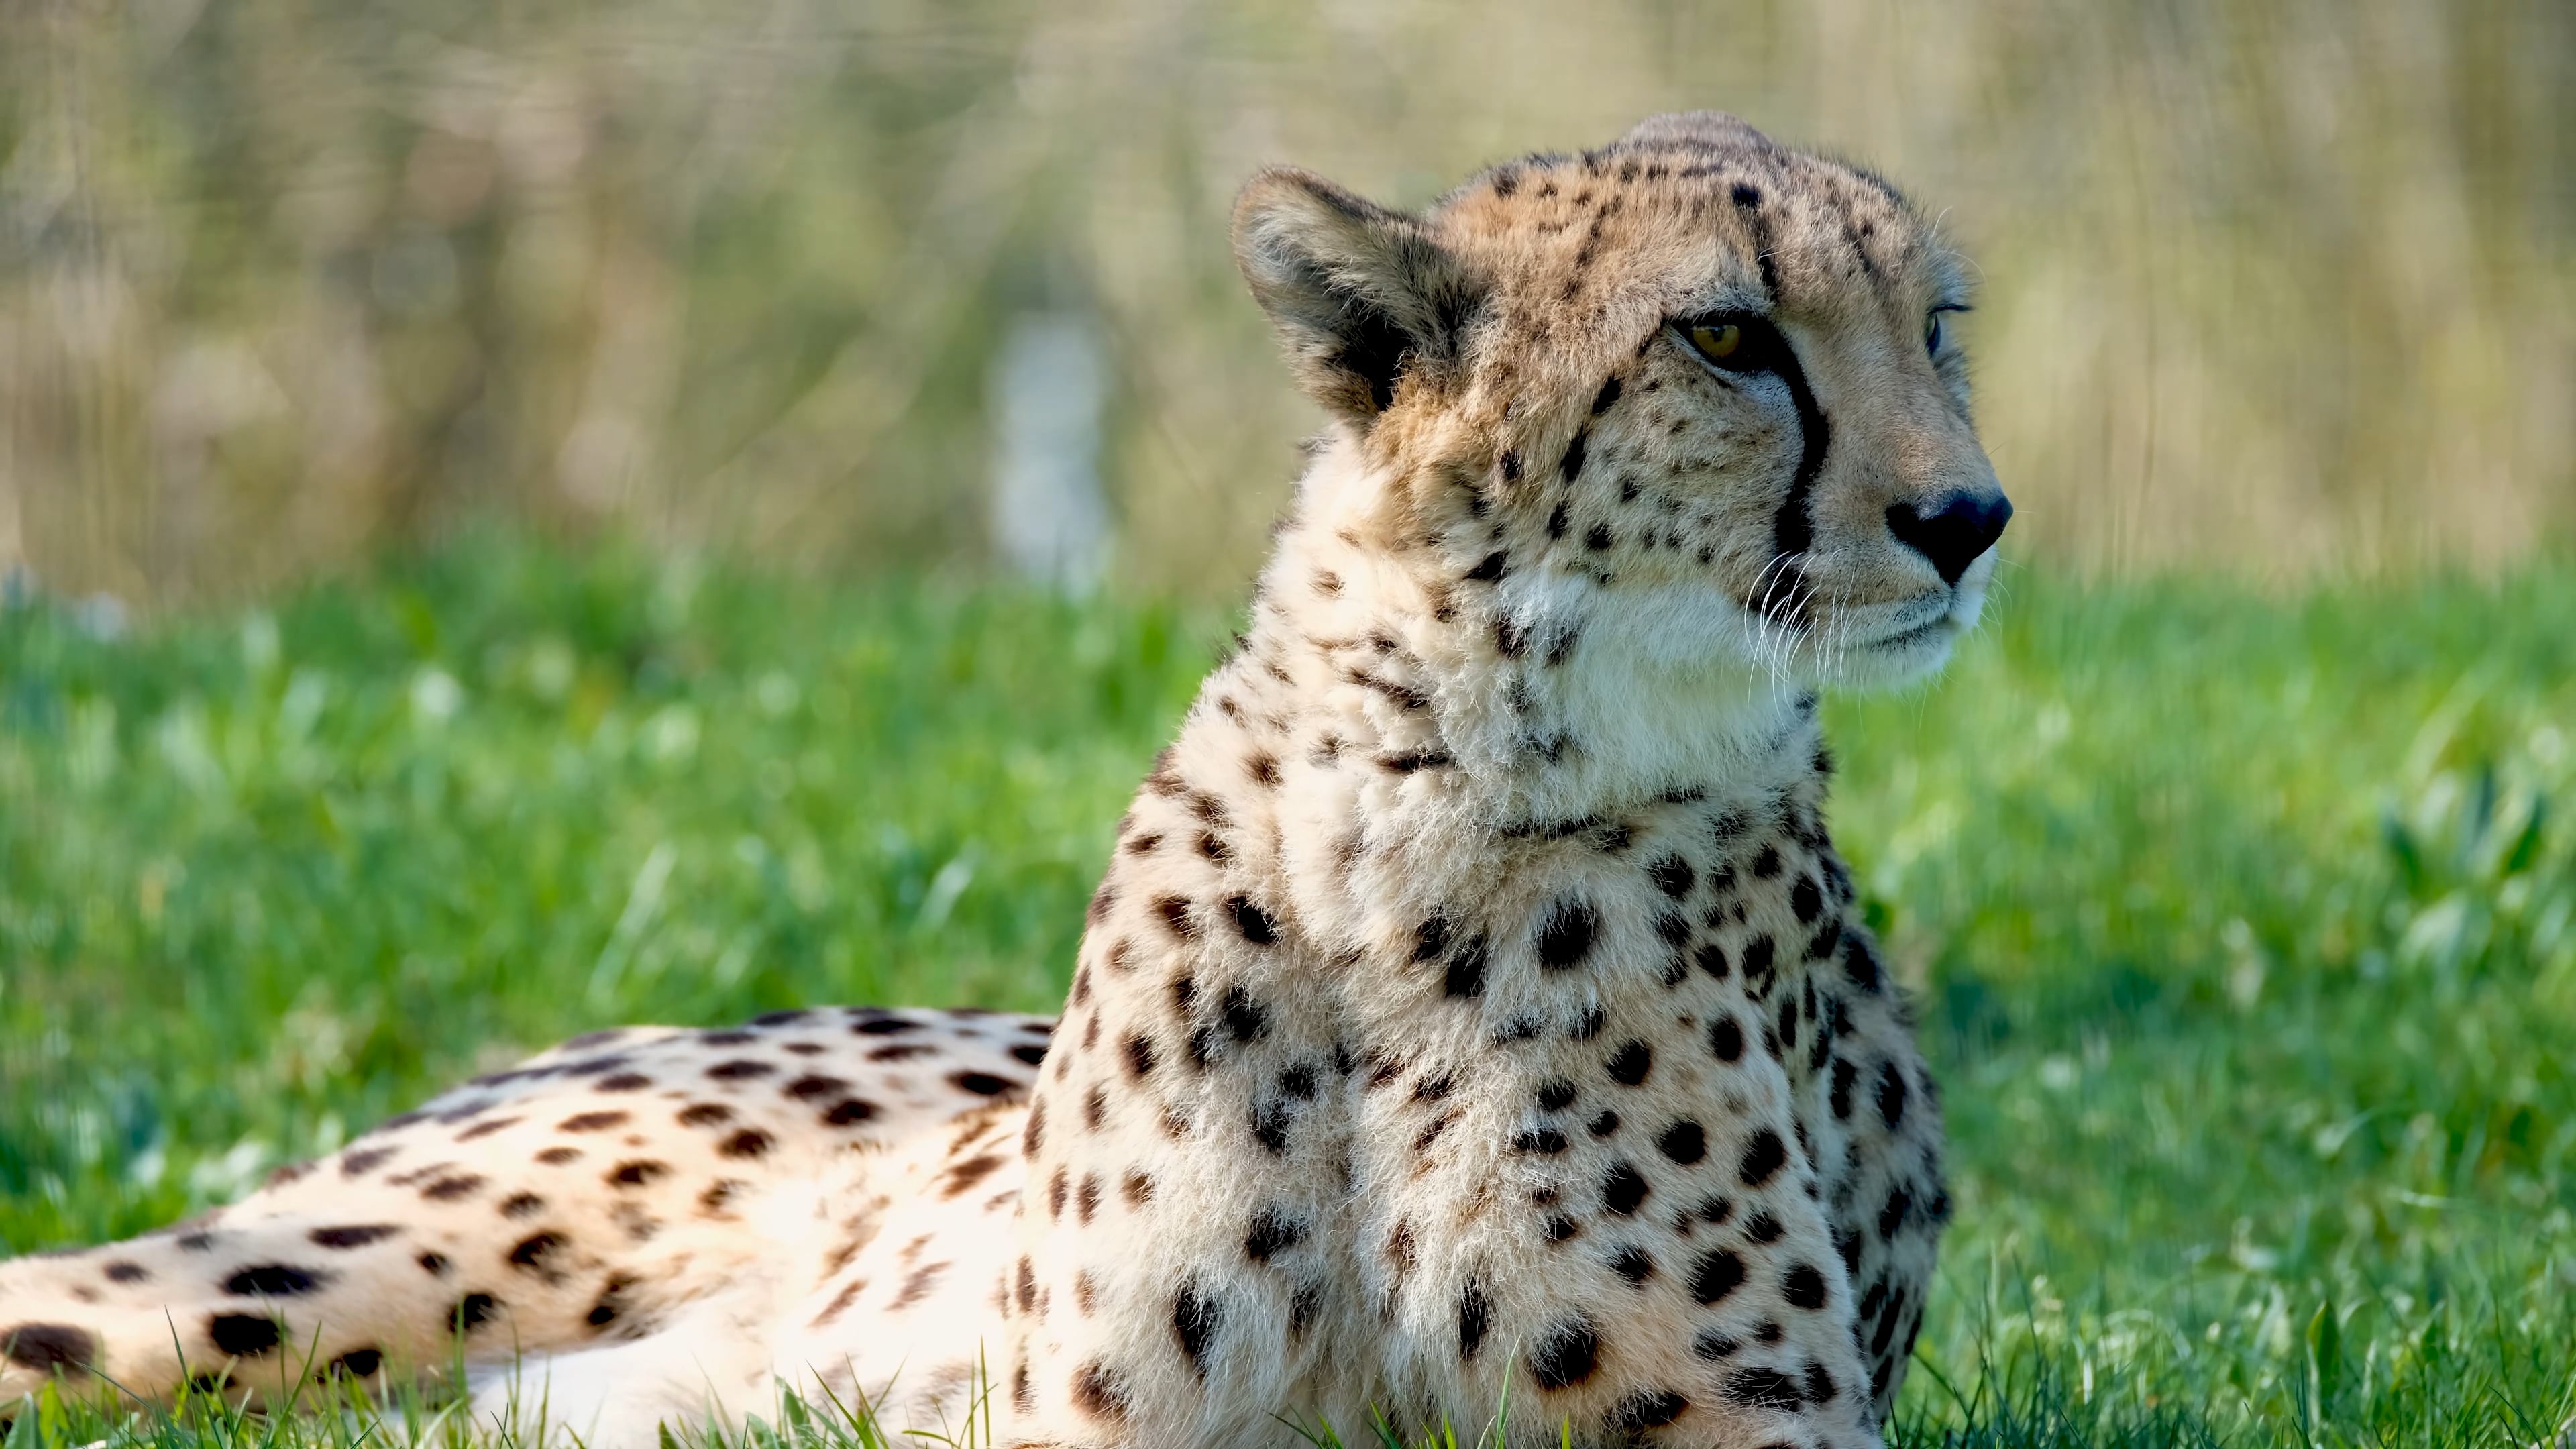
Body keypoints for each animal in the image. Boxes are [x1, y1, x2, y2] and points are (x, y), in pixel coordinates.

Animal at [0, 115, 1998, 1444]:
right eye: (1727, 335)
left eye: (1937, 328)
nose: (1968, 516)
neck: (1427, 799)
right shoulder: (1094, 1417)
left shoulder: (1746, 1421)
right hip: (309, 1284)